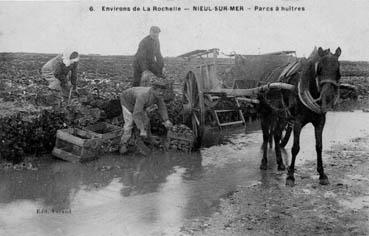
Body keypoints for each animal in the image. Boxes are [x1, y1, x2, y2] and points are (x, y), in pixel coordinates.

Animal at [258, 46, 340, 186]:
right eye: (319, 69)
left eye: (338, 70)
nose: (327, 99)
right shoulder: (297, 122)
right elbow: (295, 148)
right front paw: (290, 176)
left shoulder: (320, 122)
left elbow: (319, 147)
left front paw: (322, 174)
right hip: (267, 113)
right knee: (266, 136)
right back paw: (264, 163)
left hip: (282, 116)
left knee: (276, 134)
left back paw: (280, 163)